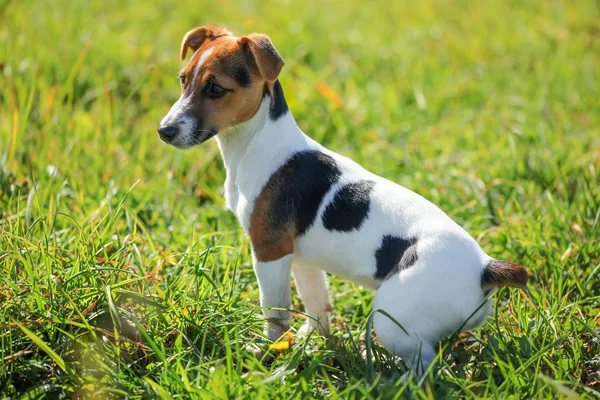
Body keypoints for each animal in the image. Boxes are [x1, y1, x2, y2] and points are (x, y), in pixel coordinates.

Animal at [157, 24, 528, 376]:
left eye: (216, 88)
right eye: (183, 80)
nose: (164, 131)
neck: (258, 141)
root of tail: (485, 267)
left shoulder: (269, 253)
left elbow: (274, 312)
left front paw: (269, 351)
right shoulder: (300, 258)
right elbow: (316, 305)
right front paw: (312, 344)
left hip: (394, 318)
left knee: (426, 370)